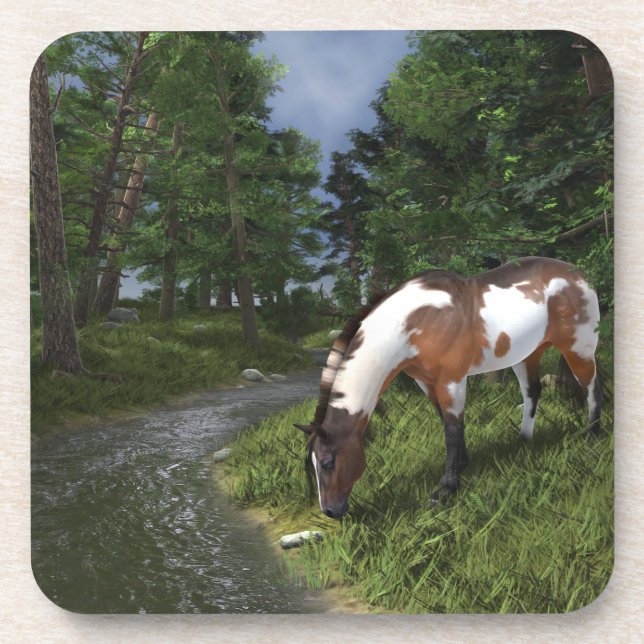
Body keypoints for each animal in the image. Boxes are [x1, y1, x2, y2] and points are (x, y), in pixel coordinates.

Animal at [295, 256, 603, 520]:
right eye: (313, 464)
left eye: (327, 462)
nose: (330, 512)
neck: (416, 321)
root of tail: (578, 274)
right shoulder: (426, 382)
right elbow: (445, 420)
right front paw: (463, 465)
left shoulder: (451, 380)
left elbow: (452, 430)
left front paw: (446, 488)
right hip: (527, 354)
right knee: (532, 392)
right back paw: (524, 441)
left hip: (579, 348)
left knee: (592, 387)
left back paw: (592, 435)